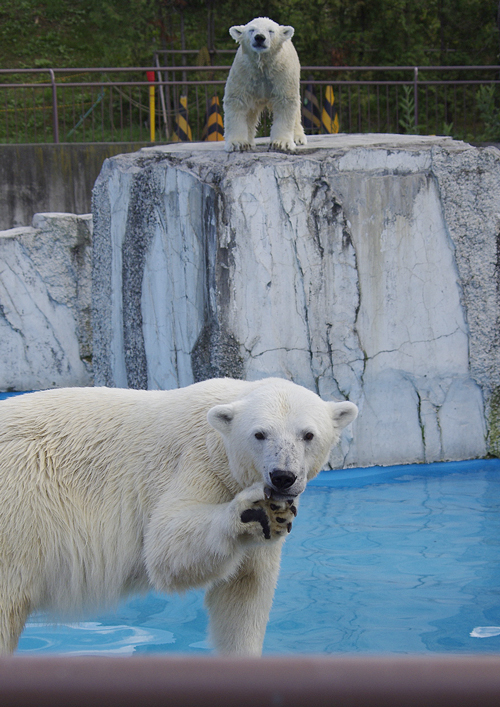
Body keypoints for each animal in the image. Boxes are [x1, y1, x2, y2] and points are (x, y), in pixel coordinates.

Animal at [0, 378, 356, 656]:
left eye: (308, 435)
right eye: (259, 434)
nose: (282, 477)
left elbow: (245, 595)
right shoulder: (196, 462)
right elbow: (166, 543)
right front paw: (252, 510)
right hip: (19, 506)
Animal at [224, 17, 308, 152]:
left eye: (271, 31)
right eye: (252, 30)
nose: (259, 37)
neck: (263, 65)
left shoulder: (282, 74)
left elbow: (285, 101)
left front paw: (281, 143)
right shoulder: (244, 72)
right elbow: (237, 100)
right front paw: (238, 143)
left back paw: (298, 137)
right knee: (251, 114)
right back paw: (250, 140)